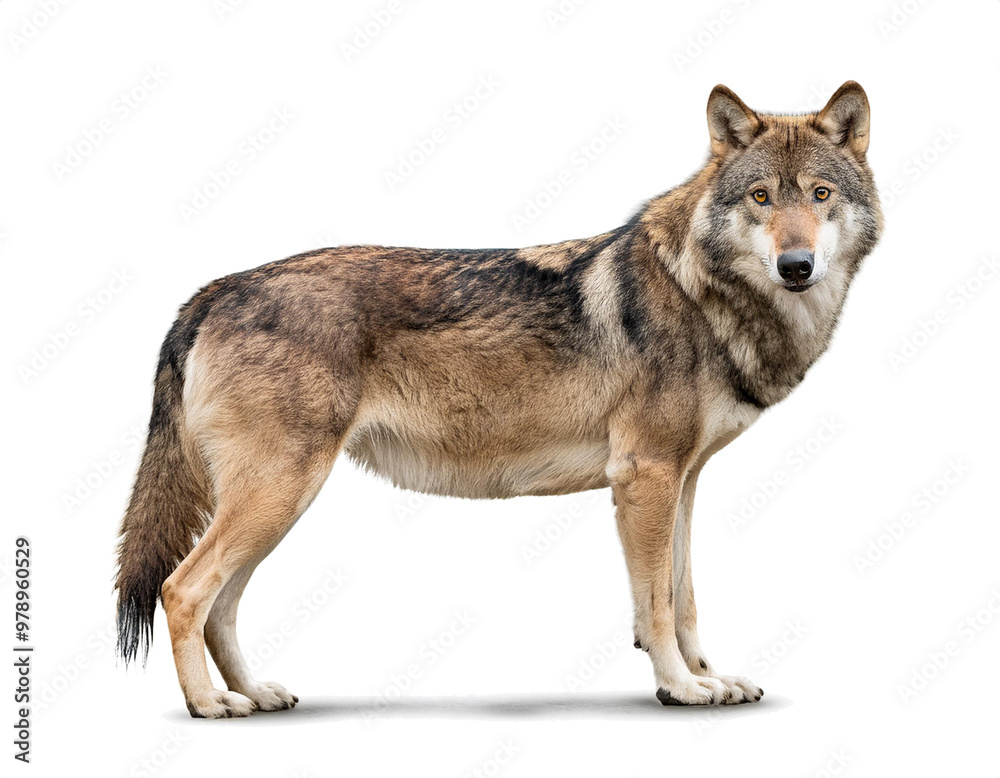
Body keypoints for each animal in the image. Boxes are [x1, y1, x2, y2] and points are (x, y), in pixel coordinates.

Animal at [115, 82, 882, 716]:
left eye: (819, 195)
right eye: (761, 198)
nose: (796, 266)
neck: (699, 289)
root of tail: (215, 288)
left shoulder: (682, 480)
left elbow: (683, 598)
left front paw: (707, 678)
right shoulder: (645, 479)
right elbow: (658, 606)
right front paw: (681, 688)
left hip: (278, 503)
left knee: (220, 606)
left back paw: (254, 693)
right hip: (280, 492)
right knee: (183, 590)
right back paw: (209, 705)